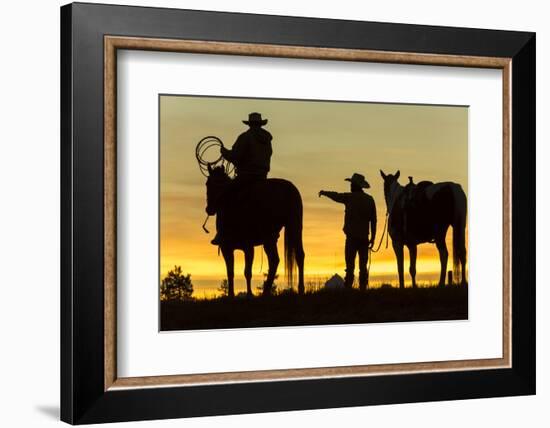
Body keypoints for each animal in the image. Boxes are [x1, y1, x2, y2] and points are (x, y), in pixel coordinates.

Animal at [205, 166, 306, 298]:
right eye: (208, 184)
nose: (209, 209)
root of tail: (290, 189)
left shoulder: (243, 247)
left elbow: (246, 272)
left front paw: (248, 294)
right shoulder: (229, 247)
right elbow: (231, 272)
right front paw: (232, 294)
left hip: (281, 231)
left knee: (285, 258)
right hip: (283, 232)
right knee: (287, 257)